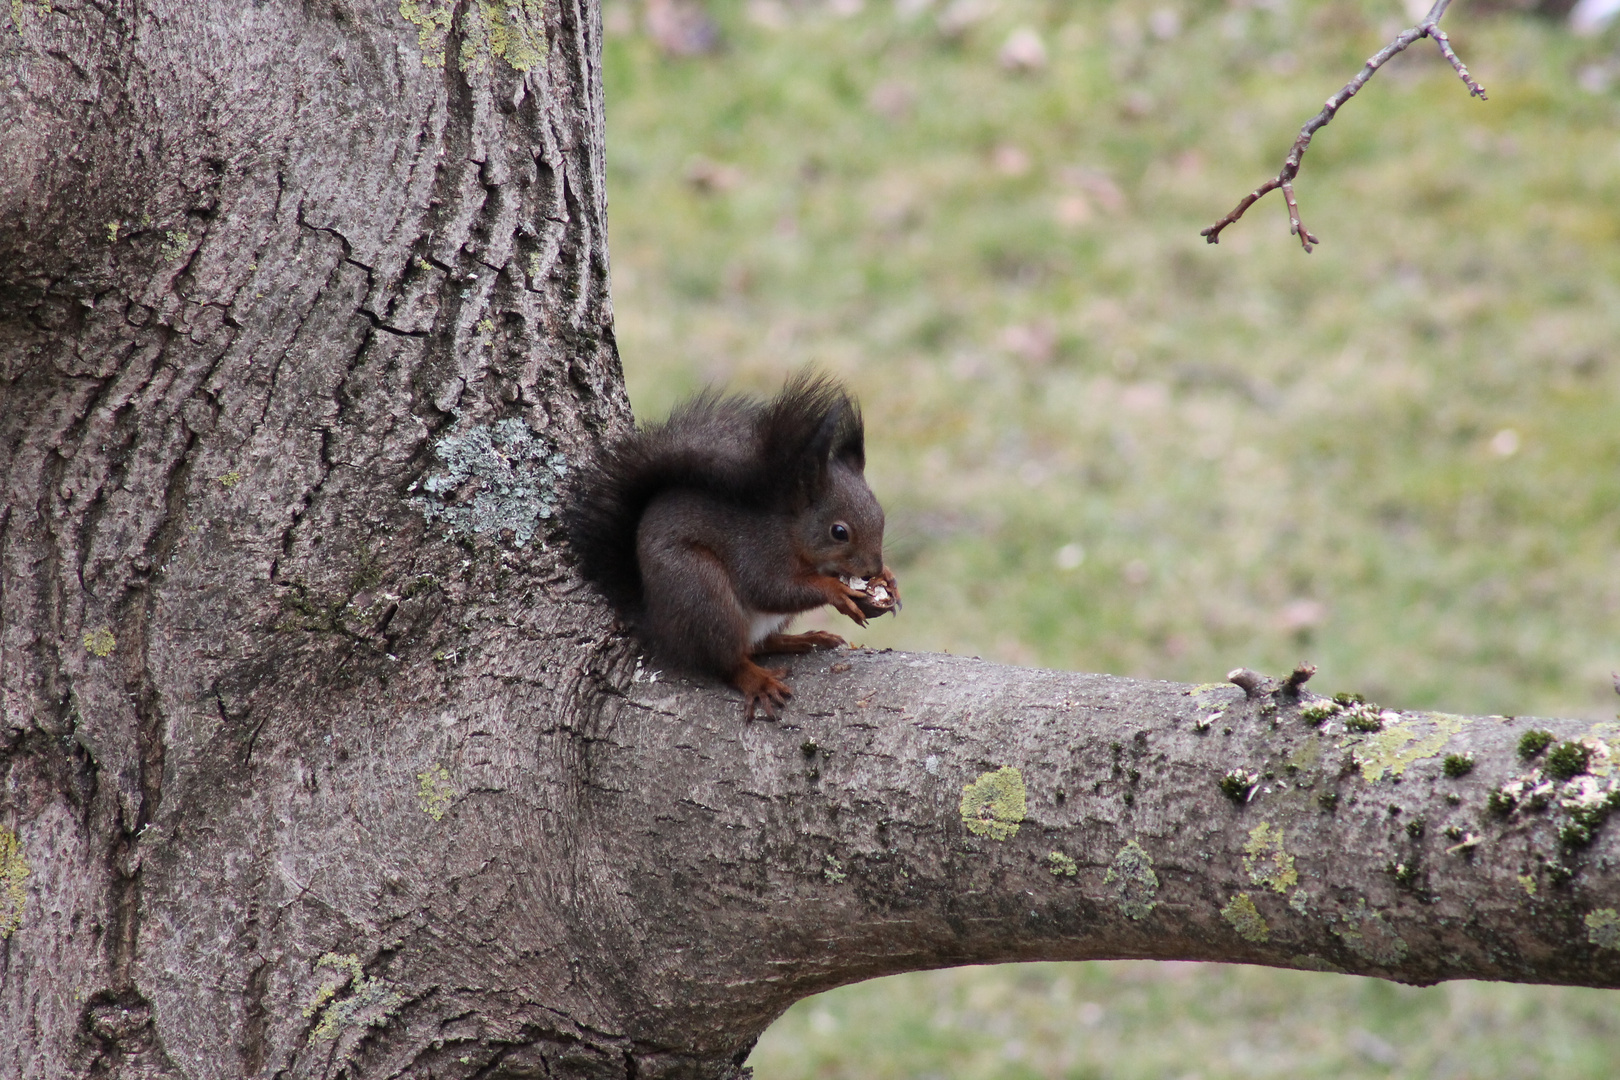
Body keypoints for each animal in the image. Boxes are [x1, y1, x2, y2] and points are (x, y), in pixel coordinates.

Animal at [567, 372, 900, 718]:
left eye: (879, 514)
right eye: (839, 531)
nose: (873, 567)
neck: (791, 531)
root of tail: (658, 625)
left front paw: (887, 578)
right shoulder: (756, 550)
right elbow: (769, 589)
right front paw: (837, 591)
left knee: (758, 645)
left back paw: (803, 639)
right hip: (701, 592)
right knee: (728, 660)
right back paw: (758, 680)